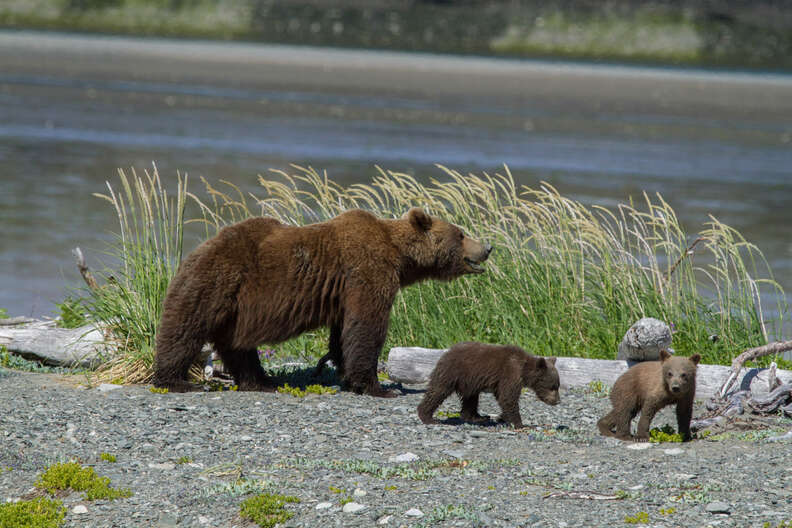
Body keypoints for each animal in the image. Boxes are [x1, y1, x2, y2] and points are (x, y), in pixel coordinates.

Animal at [152, 206, 492, 396]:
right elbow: (367, 325)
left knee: (237, 345)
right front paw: (377, 387)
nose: (487, 247)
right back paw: (176, 380)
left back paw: (260, 380)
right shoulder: (367, 270)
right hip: (216, 282)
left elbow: (344, 332)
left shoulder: (345, 292)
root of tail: (193, 252)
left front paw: (347, 375)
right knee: (185, 328)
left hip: (235, 308)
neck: (400, 256)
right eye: (461, 233)